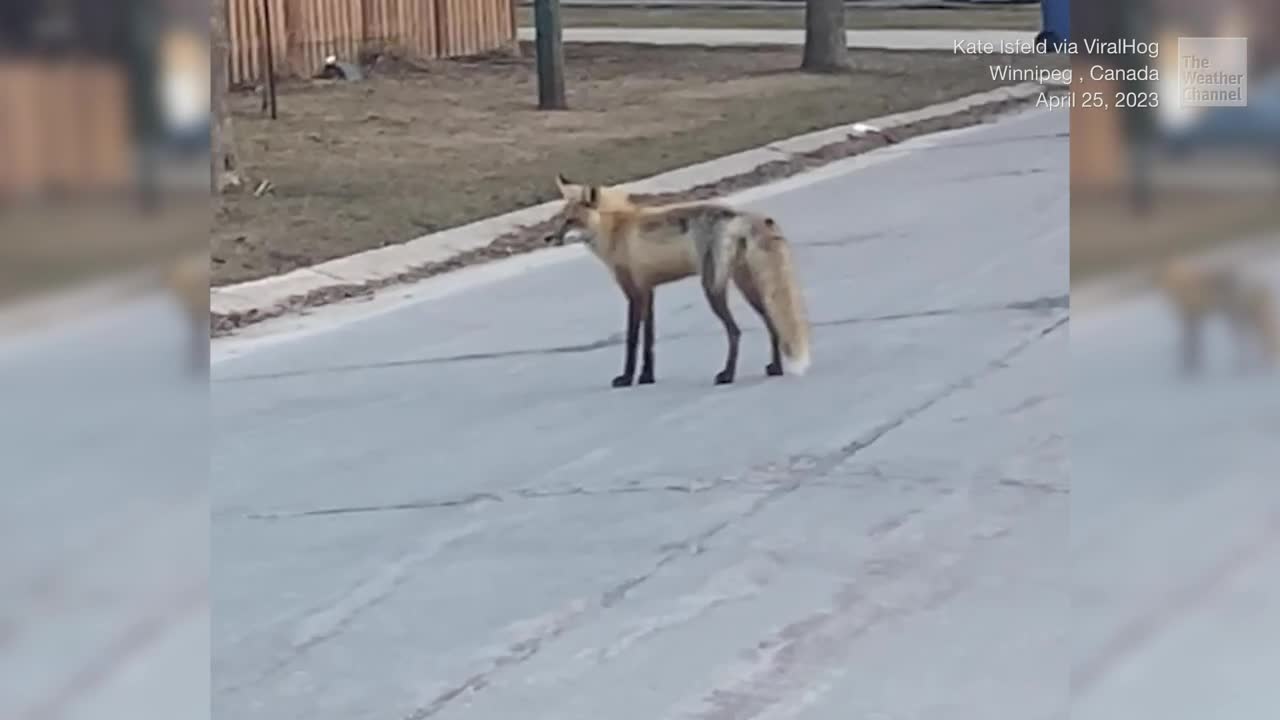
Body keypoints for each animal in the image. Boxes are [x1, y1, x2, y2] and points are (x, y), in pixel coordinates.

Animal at [545, 174, 810, 387]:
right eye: (560, 218)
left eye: (571, 221)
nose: (548, 238)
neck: (616, 229)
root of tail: (739, 215)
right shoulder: (648, 291)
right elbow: (649, 341)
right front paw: (647, 377)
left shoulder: (633, 292)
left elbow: (632, 340)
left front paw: (627, 378)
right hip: (746, 285)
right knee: (772, 323)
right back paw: (775, 368)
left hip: (712, 288)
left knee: (735, 332)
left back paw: (727, 375)